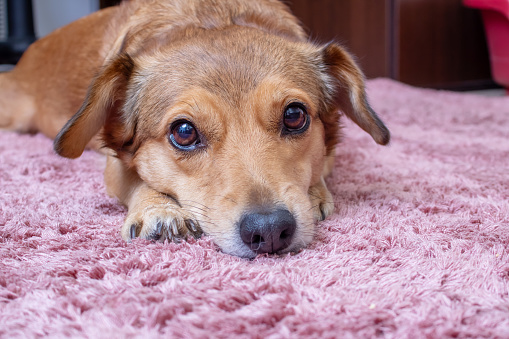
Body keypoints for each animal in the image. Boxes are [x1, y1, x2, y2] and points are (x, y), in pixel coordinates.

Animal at [0, 0, 388, 258]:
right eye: (184, 132)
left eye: (294, 115)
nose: (269, 231)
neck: (211, 16)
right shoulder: (113, 164)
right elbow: (138, 180)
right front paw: (158, 210)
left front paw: (316, 193)